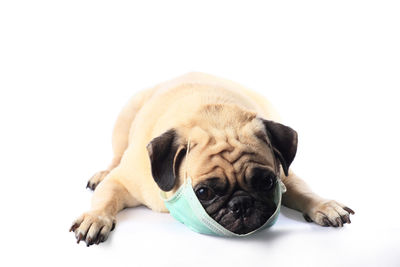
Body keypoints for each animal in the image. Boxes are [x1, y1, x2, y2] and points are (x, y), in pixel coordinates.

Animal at [70, 71, 354, 247]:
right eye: (204, 192)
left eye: (267, 182)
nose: (242, 204)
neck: (215, 120)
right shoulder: (123, 182)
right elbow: (106, 199)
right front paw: (95, 218)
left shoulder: (286, 174)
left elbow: (304, 191)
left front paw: (324, 206)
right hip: (124, 119)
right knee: (115, 156)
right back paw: (102, 173)